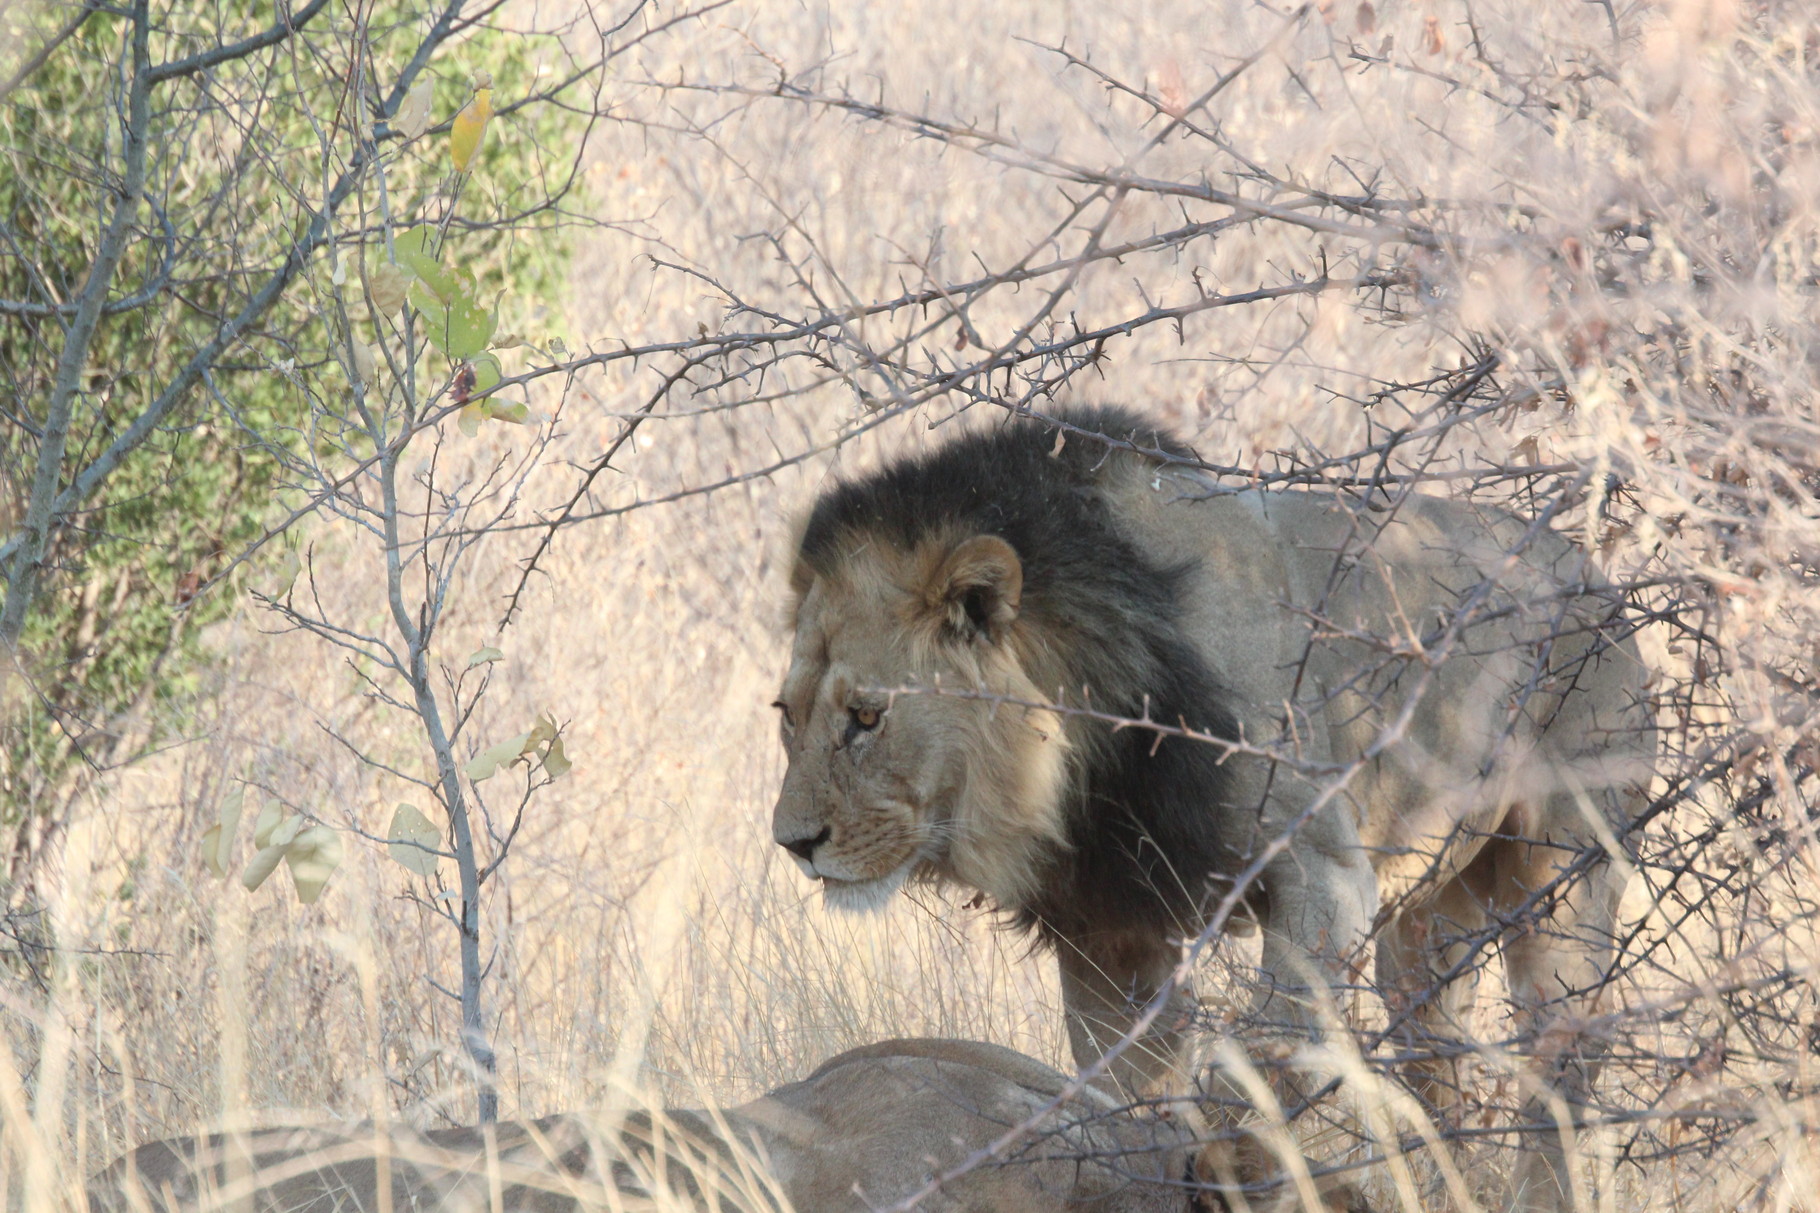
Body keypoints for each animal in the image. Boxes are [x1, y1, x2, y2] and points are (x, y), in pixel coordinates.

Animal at [775, 400, 1659, 1202]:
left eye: (866, 717)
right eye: (788, 715)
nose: (793, 843)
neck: (1088, 761)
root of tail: (1598, 581)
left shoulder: (1323, 874)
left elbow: (1263, 1054)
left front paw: (1233, 1162)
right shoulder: (1109, 932)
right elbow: (1125, 1091)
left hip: (1563, 881)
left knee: (1561, 1074)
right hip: (1429, 927)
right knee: (1443, 1067)